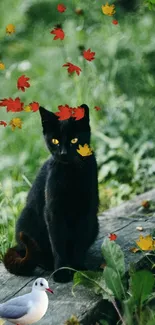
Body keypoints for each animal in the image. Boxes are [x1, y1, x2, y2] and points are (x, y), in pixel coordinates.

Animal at [3, 104, 99, 280]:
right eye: (55, 141)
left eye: (74, 140)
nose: (63, 153)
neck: (71, 174)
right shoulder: (53, 212)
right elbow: (58, 243)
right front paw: (61, 272)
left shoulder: (87, 211)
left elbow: (80, 243)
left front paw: (79, 269)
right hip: (27, 219)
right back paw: (48, 264)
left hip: (95, 223)